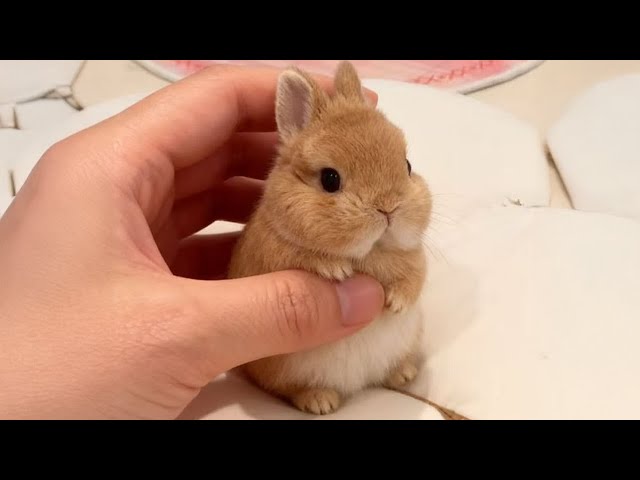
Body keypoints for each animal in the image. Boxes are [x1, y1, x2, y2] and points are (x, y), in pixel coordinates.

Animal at [227, 61, 432, 415]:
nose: (388, 208)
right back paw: (320, 400)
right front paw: (336, 271)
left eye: (407, 166)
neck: (370, 252)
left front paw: (396, 304)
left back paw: (403, 373)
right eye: (330, 179)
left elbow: (413, 281)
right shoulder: (272, 255)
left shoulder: (415, 261)